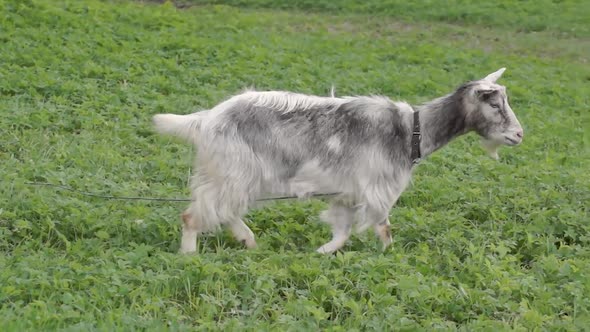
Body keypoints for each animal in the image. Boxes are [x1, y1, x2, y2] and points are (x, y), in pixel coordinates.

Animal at [154, 67, 528, 254]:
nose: (519, 134)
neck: (412, 130)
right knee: (194, 214)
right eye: (494, 103)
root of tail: (206, 119)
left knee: (225, 210)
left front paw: (323, 251)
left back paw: (249, 241)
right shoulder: (376, 188)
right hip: (232, 172)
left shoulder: (347, 192)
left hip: (241, 176)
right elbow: (383, 226)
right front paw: (389, 256)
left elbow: (343, 229)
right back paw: (190, 255)